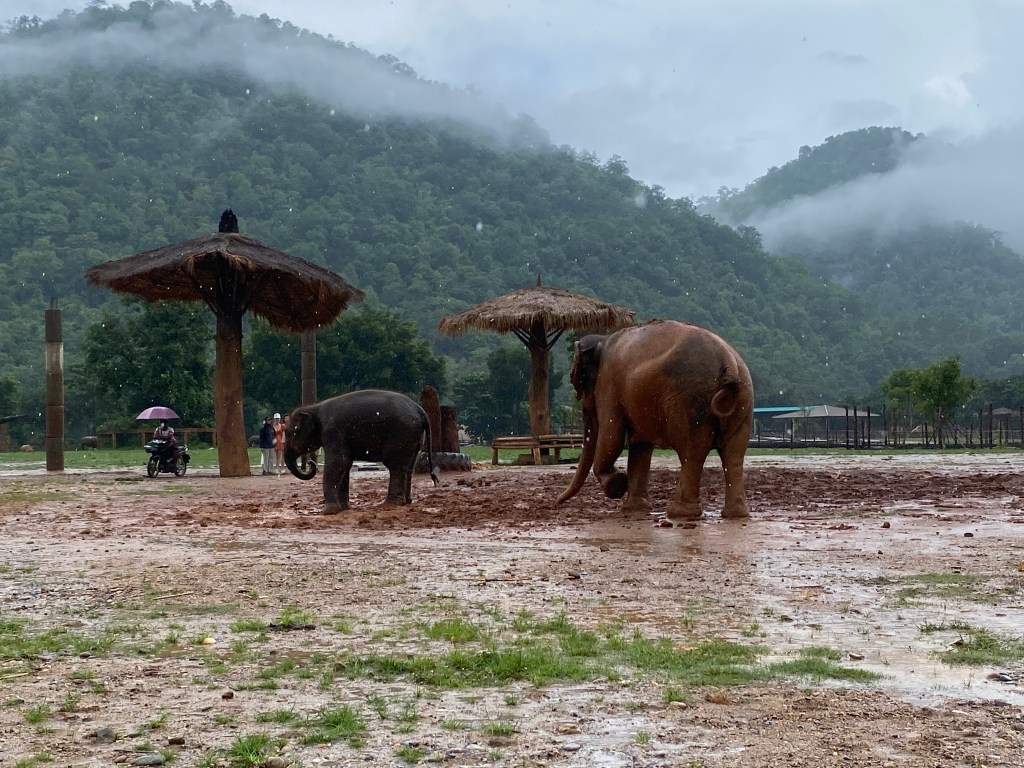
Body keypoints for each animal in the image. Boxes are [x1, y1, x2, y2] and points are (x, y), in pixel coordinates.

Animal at [284, 389, 440, 513]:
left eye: (288, 433)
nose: (311, 463)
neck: (314, 407)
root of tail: (420, 410)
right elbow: (345, 465)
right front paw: (344, 508)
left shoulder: (333, 430)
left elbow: (338, 462)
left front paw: (328, 512)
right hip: (415, 436)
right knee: (409, 467)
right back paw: (406, 501)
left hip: (402, 433)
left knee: (395, 465)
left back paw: (391, 504)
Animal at [557, 319, 754, 521]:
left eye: (576, 382)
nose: (557, 502)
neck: (602, 340)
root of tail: (729, 362)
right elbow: (640, 444)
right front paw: (634, 508)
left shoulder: (608, 384)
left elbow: (613, 437)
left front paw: (618, 483)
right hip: (744, 401)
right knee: (733, 453)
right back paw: (735, 514)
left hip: (690, 399)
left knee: (692, 450)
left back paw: (679, 513)